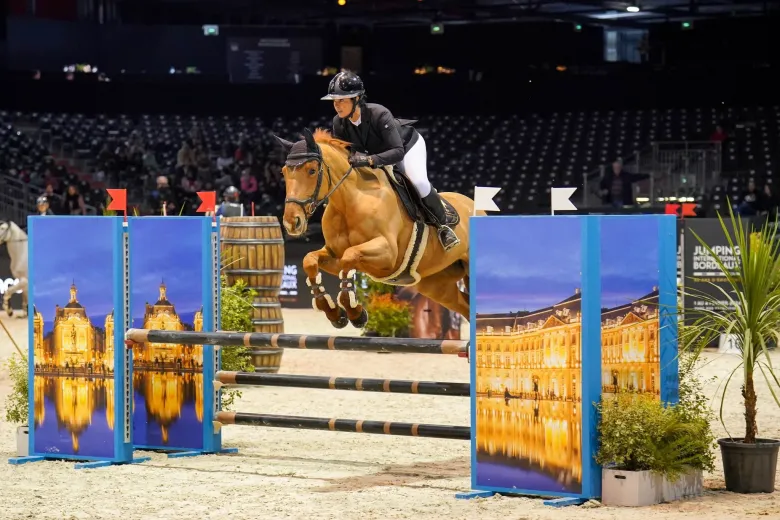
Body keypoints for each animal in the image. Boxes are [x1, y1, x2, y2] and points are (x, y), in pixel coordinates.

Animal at [274, 127, 482, 330]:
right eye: (283, 172)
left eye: (311, 170)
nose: (292, 222)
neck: (350, 202)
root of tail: (473, 204)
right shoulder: (334, 253)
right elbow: (310, 261)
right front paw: (334, 312)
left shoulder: (388, 253)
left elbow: (350, 256)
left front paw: (356, 313)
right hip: (436, 285)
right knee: (464, 306)